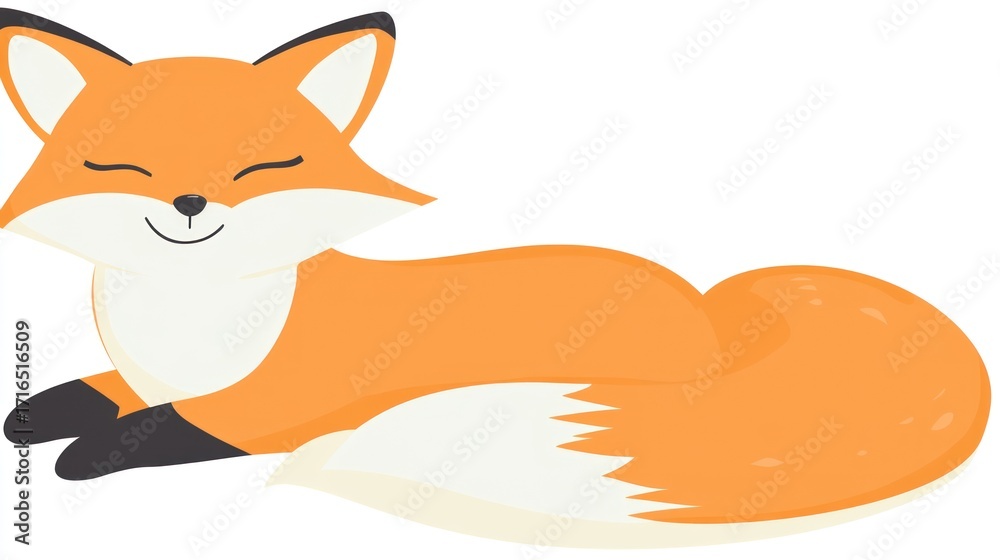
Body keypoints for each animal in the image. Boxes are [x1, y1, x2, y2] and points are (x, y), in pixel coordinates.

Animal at [0, 8, 991, 548]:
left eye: (266, 166)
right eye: (119, 167)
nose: (193, 202)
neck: (191, 326)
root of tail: (716, 326)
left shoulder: (278, 402)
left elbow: (166, 427)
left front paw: (87, 454)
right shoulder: (142, 372)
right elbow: (96, 394)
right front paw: (39, 414)